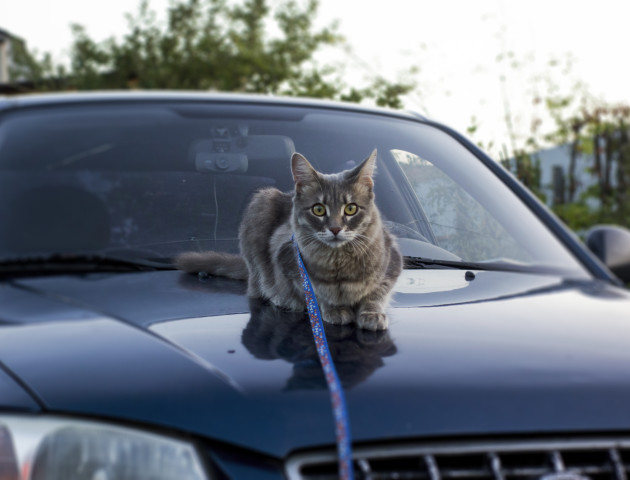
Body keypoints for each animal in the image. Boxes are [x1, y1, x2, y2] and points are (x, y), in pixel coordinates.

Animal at [177, 150, 404, 330]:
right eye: (318, 209)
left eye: (351, 209)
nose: (335, 228)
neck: (340, 262)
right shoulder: (289, 263)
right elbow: (316, 292)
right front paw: (335, 308)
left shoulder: (392, 263)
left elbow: (376, 294)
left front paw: (371, 314)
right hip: (261, 205)